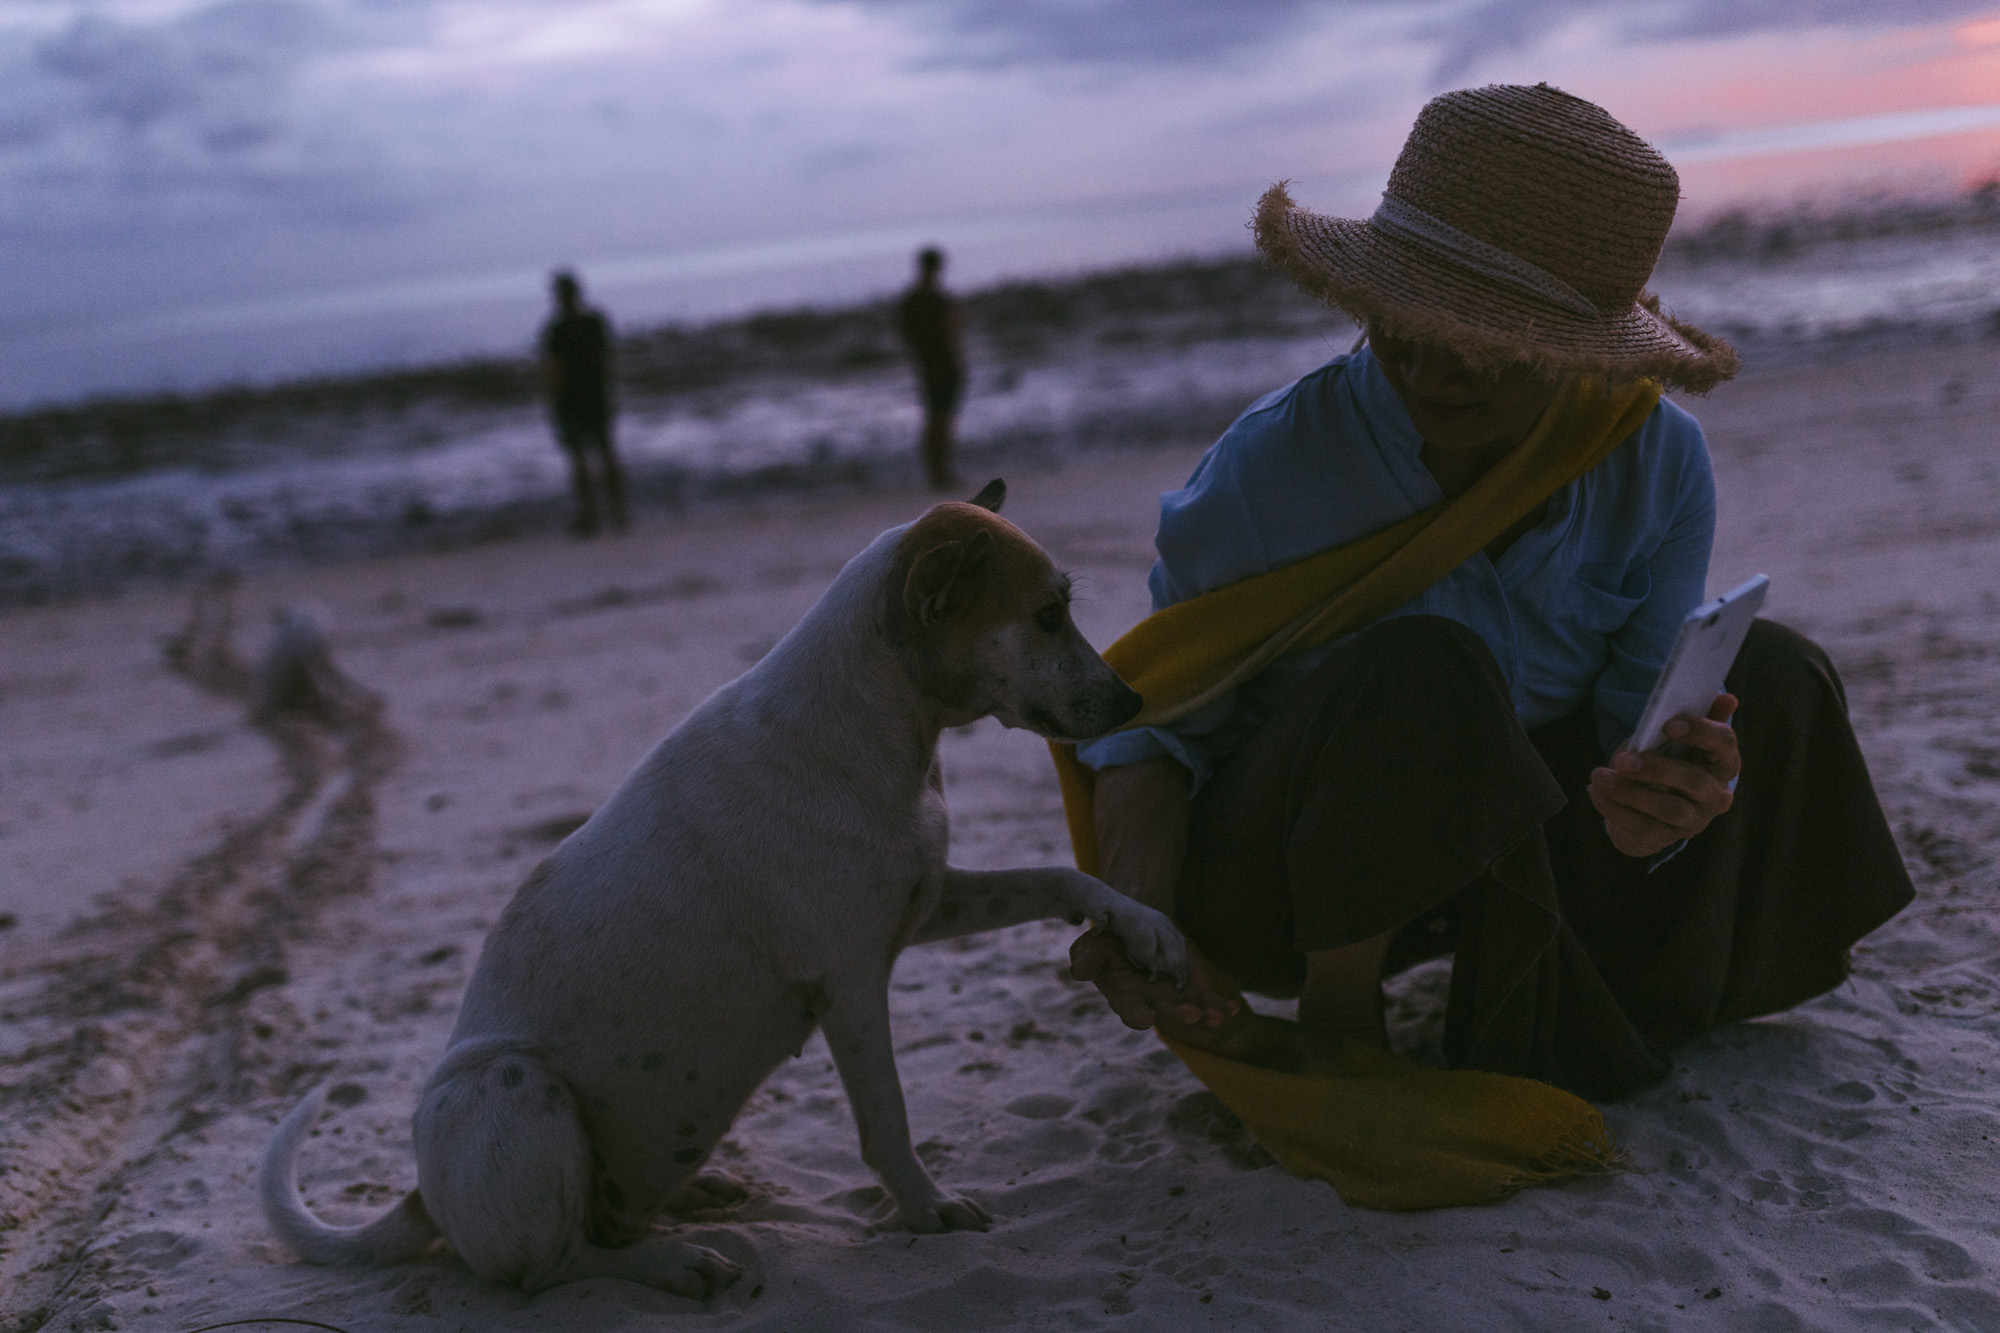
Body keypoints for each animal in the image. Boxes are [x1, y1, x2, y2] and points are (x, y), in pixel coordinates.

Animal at [256, 482, 1176, 1288]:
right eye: (1049, 614)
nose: (1133, 700)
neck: (877, 724)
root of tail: (424, 1199)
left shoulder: (932, 902)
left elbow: (1059, 874)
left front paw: (1146, 928)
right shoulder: (851, 985)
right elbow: (887, 1121)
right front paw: (926, 1208)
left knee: (602, 1220)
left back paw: (695, 1193)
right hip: (512, 1088)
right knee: (555, 1266)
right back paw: (672, 1264)